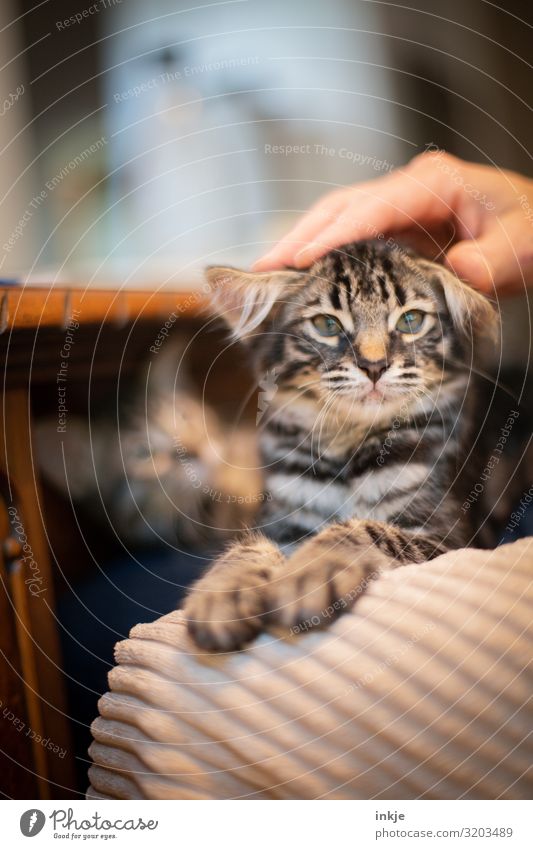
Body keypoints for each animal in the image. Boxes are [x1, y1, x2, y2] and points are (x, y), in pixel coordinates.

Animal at [185, 238, 496, 648]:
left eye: (411, 320)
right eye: (326, 325)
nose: (374, 365)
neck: (348, 444)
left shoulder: (451, 534)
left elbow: (361, 527)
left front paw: (309, 573)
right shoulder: (282, 517)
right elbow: (247, 546)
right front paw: (220, 592)